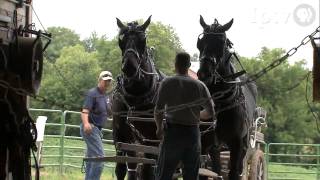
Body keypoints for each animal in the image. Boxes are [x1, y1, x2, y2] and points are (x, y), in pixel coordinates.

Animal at [111, 15, 164, 180]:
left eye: (143, 39)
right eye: (121, 39)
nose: (129, 67)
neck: (136, 96)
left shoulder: (152, 139)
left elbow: (148, 170)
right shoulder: (120, 136)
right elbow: (122, 168)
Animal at [196, 15, 258, 180]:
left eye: (221, 43)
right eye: (200, 42)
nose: (204, 73)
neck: (219, 102)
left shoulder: (236, 143)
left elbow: (234, 172)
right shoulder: (204, 142)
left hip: (243, 145)